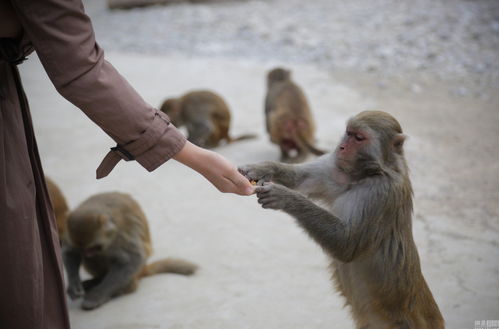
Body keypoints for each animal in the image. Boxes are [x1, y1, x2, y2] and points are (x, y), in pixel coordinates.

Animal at [64, 191, 199, 308]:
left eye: (93, 247)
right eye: (82, 248)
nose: (87, 253)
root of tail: (143, 270)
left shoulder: (120, 235)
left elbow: (131, 260)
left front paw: (97, 295)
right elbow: (70, 252)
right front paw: (74, 285)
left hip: (135, 270)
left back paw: (123, 289)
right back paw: (96, 280)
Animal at [240, 111, 448, 328]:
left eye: (359, 138)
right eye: (348, 133)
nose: (340, 147)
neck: (365, 175)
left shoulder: (380, 193)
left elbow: (348, 244)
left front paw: (284, 197)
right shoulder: (338, 169)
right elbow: (301, 178)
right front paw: (261, 168)